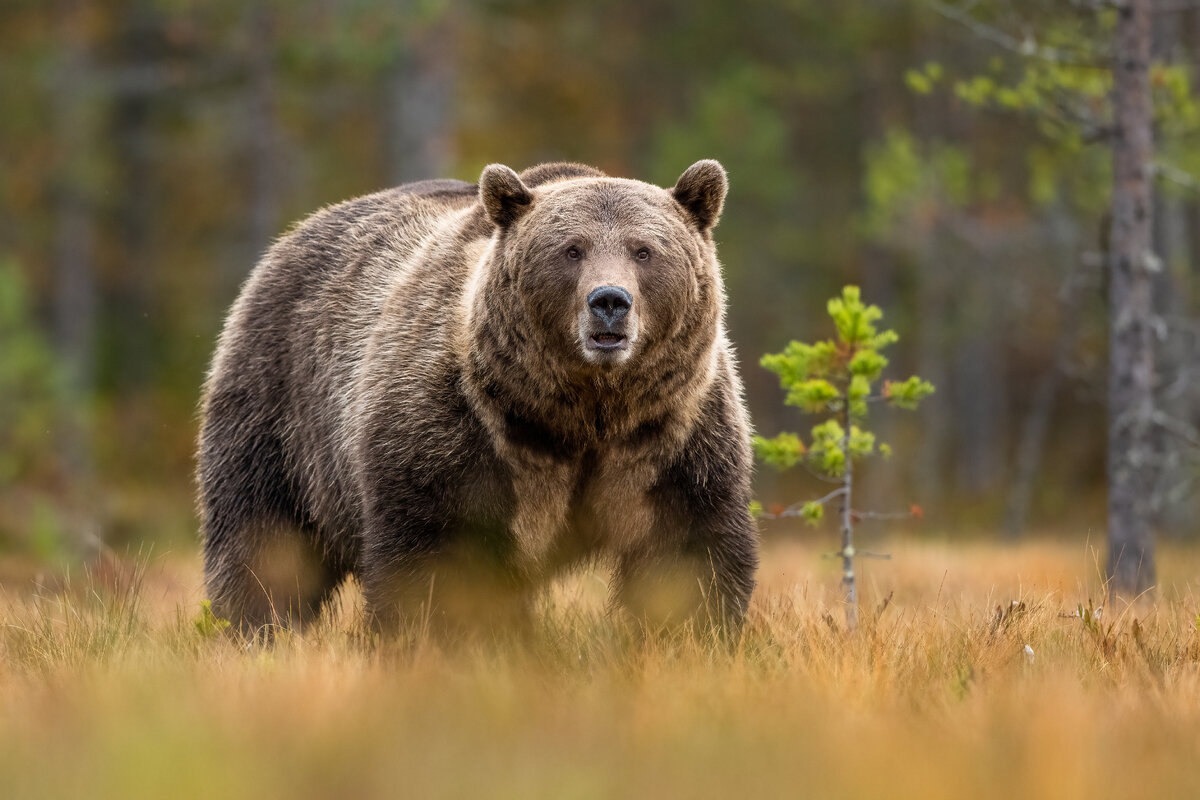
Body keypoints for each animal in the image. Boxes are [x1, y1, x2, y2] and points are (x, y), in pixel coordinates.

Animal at [196, 159, 758, 642]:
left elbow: (687, 554)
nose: (609, 302)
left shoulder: (670, 437)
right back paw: (252, 628)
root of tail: (291, 237)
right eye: (571, 249)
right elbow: (439, 558)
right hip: (280, 406)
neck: (580, 413)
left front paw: (691, 636)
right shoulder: (458, 429)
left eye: (644, 250)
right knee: (264, 539)